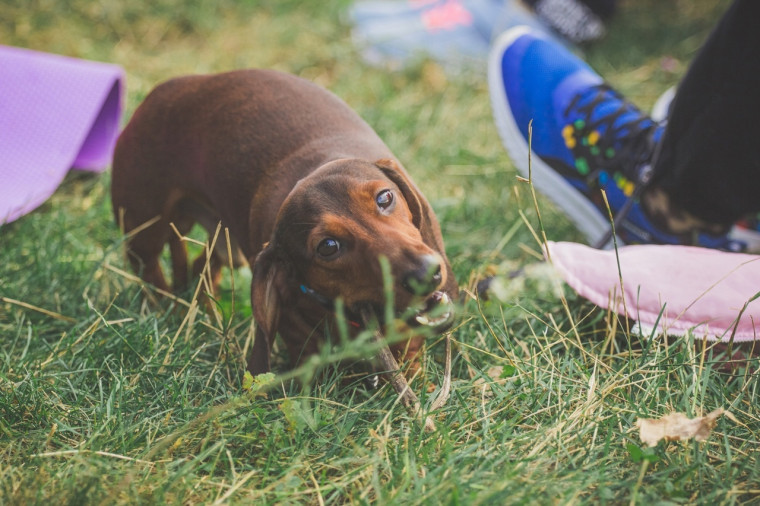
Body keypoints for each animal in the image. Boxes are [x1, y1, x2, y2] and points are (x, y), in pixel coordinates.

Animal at [111, 69, 458, 374]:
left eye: (385, 198)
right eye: (328, 246)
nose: (426, 273)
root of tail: (162, 91)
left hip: (225, 247)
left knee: (203, 270)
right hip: (145, 231)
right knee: (151, 272)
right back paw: (165, 311)